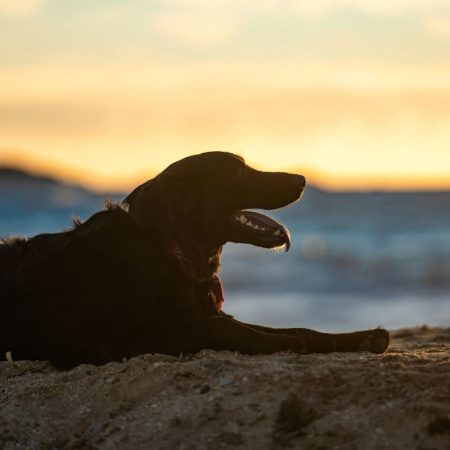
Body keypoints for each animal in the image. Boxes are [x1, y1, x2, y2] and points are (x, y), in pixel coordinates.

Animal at [0, 153, 388, 368]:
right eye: (238, 172)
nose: (302, 178)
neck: (167, 251)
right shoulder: (130, 338)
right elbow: (228, 329)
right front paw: (281, 344)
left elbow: (301, 328)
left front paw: (364, 337)